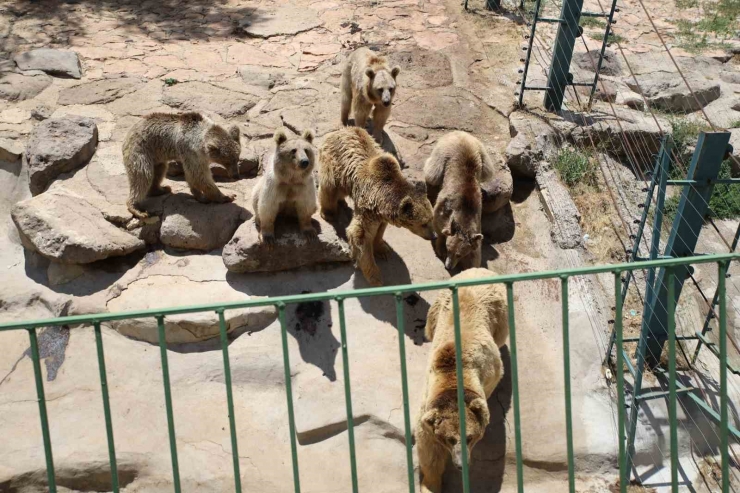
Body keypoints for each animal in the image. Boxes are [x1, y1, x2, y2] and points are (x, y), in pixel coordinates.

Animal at [316, 127, 434, 286]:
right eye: (423, 223)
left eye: (431, 218)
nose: (433, 236)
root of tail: (341, 130)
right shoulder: (368, 209)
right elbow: (360, 235)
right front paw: (376, 278)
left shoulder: (380, 213)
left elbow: (380, 229)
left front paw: (383, 249)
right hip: (334, 163)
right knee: (329, 186)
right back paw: (328, 212)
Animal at [414, 270, 512, 492]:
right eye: (449, 439)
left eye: (470, 437)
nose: (461, 464)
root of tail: (479, 270)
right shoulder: (429, 403)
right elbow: (428, 447)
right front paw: (430, 484)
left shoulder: (489, 369)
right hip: (438, 305)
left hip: (499, 312)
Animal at [424, 129, 494, 270]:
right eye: (449, 249)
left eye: (459, 255)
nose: (448, 266)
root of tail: (459, 132)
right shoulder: (446, 207)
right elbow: (438, 225)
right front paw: (440, 247)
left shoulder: (476, 222)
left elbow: (475, 256)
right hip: (443, 153)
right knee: (432, 173)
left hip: (481, 154)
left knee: (487, 172)